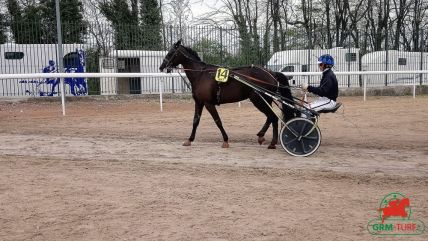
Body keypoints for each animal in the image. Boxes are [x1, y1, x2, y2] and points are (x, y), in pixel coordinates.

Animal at [159, 39, 296, 149]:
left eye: (170, 53)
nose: (161, 67)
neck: (201, 75)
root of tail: (271, 73)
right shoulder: (199, 102)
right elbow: (195, 121)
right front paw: (189, 140)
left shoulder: (208, 103)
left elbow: (217, 121)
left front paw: (225, 140)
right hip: (264, 99)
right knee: (270, 117)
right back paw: (261, 136)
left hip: (258, 99)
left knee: (273, 117)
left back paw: (272, 143)